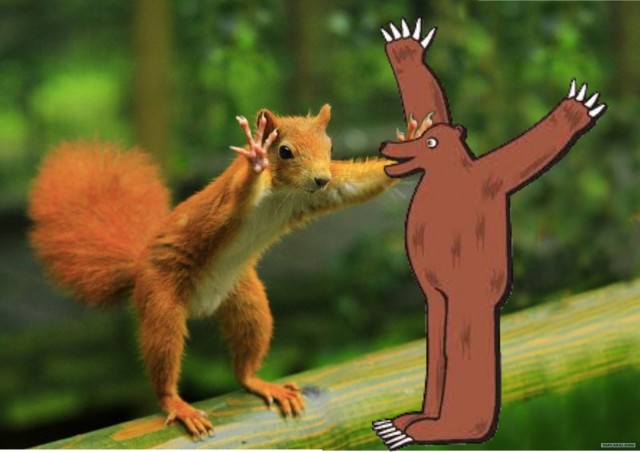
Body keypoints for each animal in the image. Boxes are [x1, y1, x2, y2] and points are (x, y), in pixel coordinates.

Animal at [28, 104, 407, 439]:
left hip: (246, 300)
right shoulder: (228, 202)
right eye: (284, 151)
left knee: (245, 361)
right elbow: (238, 196)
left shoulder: (315, 195)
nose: (321, 178)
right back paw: (177, 404)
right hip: (161, 298)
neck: (282, 193)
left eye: (329, 148)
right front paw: (256, 157)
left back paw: (259, 382)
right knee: (163, 355)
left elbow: (356, 186)